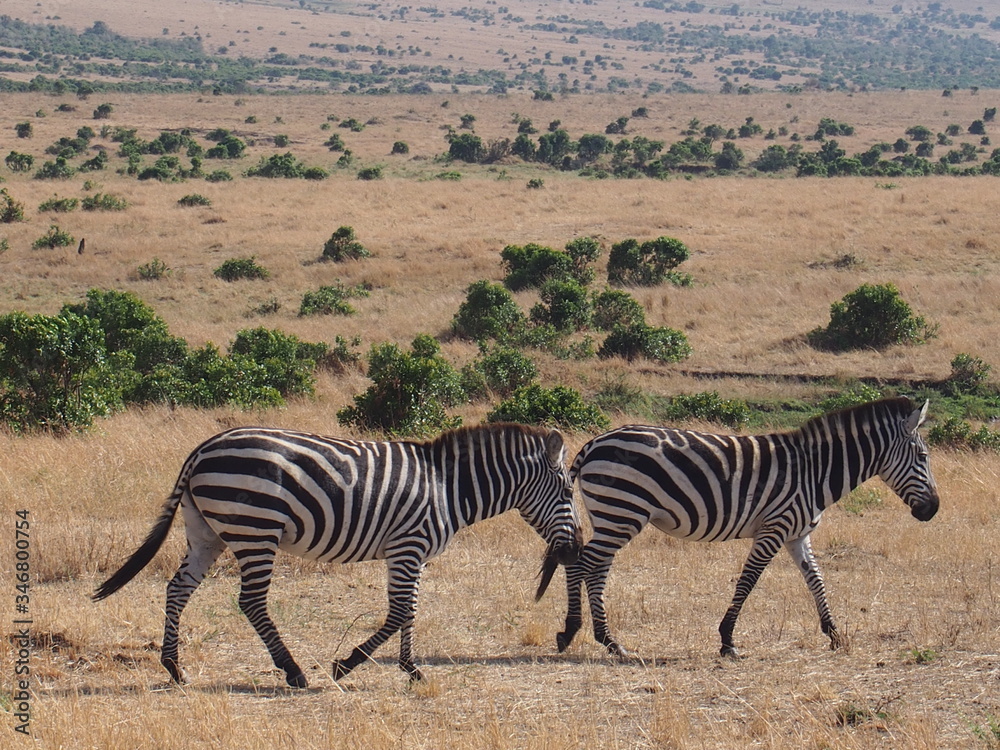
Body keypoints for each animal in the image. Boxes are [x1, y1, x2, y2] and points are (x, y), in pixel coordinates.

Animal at [93, 423, 582, 687]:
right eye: (567, 492)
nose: (575, 547)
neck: (448, 488)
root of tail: (203, 448)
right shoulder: (408, 546)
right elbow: (399, 611)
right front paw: (346, 665)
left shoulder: (415, 553)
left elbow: (411, 611)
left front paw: (410, 669)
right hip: (255, 528)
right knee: (252, 602)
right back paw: (293, 672)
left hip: (207, 531)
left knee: (178, 588)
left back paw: (175, 668)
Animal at [556, 397, 940, 659]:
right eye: (923, 457)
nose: (933, 509)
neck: (815, 471)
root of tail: (595, 443)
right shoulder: (775, 527)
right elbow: (749, 580)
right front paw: (727, 640)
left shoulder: (798, 533)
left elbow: (816, 579)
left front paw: (834, 633)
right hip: (623, 510)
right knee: (585, 563)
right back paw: (586, 635)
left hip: (611, 514)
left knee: (592, 566)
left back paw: (598, 637)